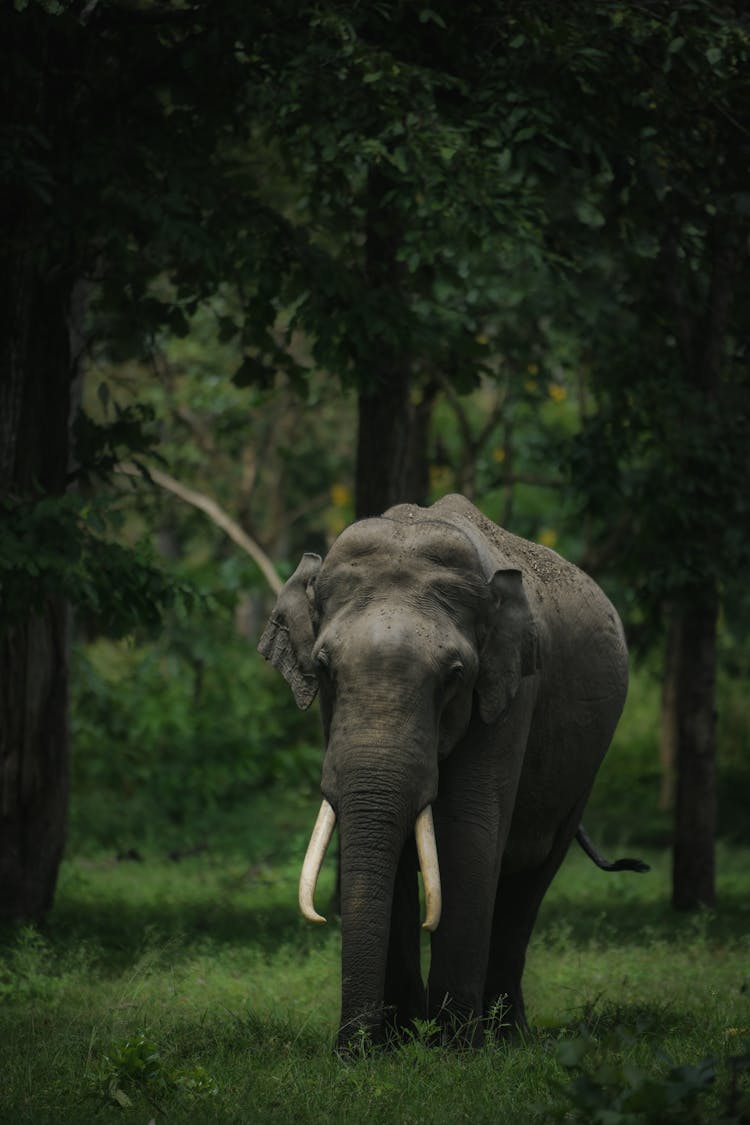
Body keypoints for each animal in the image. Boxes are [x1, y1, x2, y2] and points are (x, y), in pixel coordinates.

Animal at [259, 497, 647, 1048]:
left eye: (455, 676)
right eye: (324, 668)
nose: (348, 1051)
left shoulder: (509, 692)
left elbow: (467, 833)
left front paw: (452, 1048)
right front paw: (392, 1042)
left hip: (586, 764)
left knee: (533, 876)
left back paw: (506, 1036)